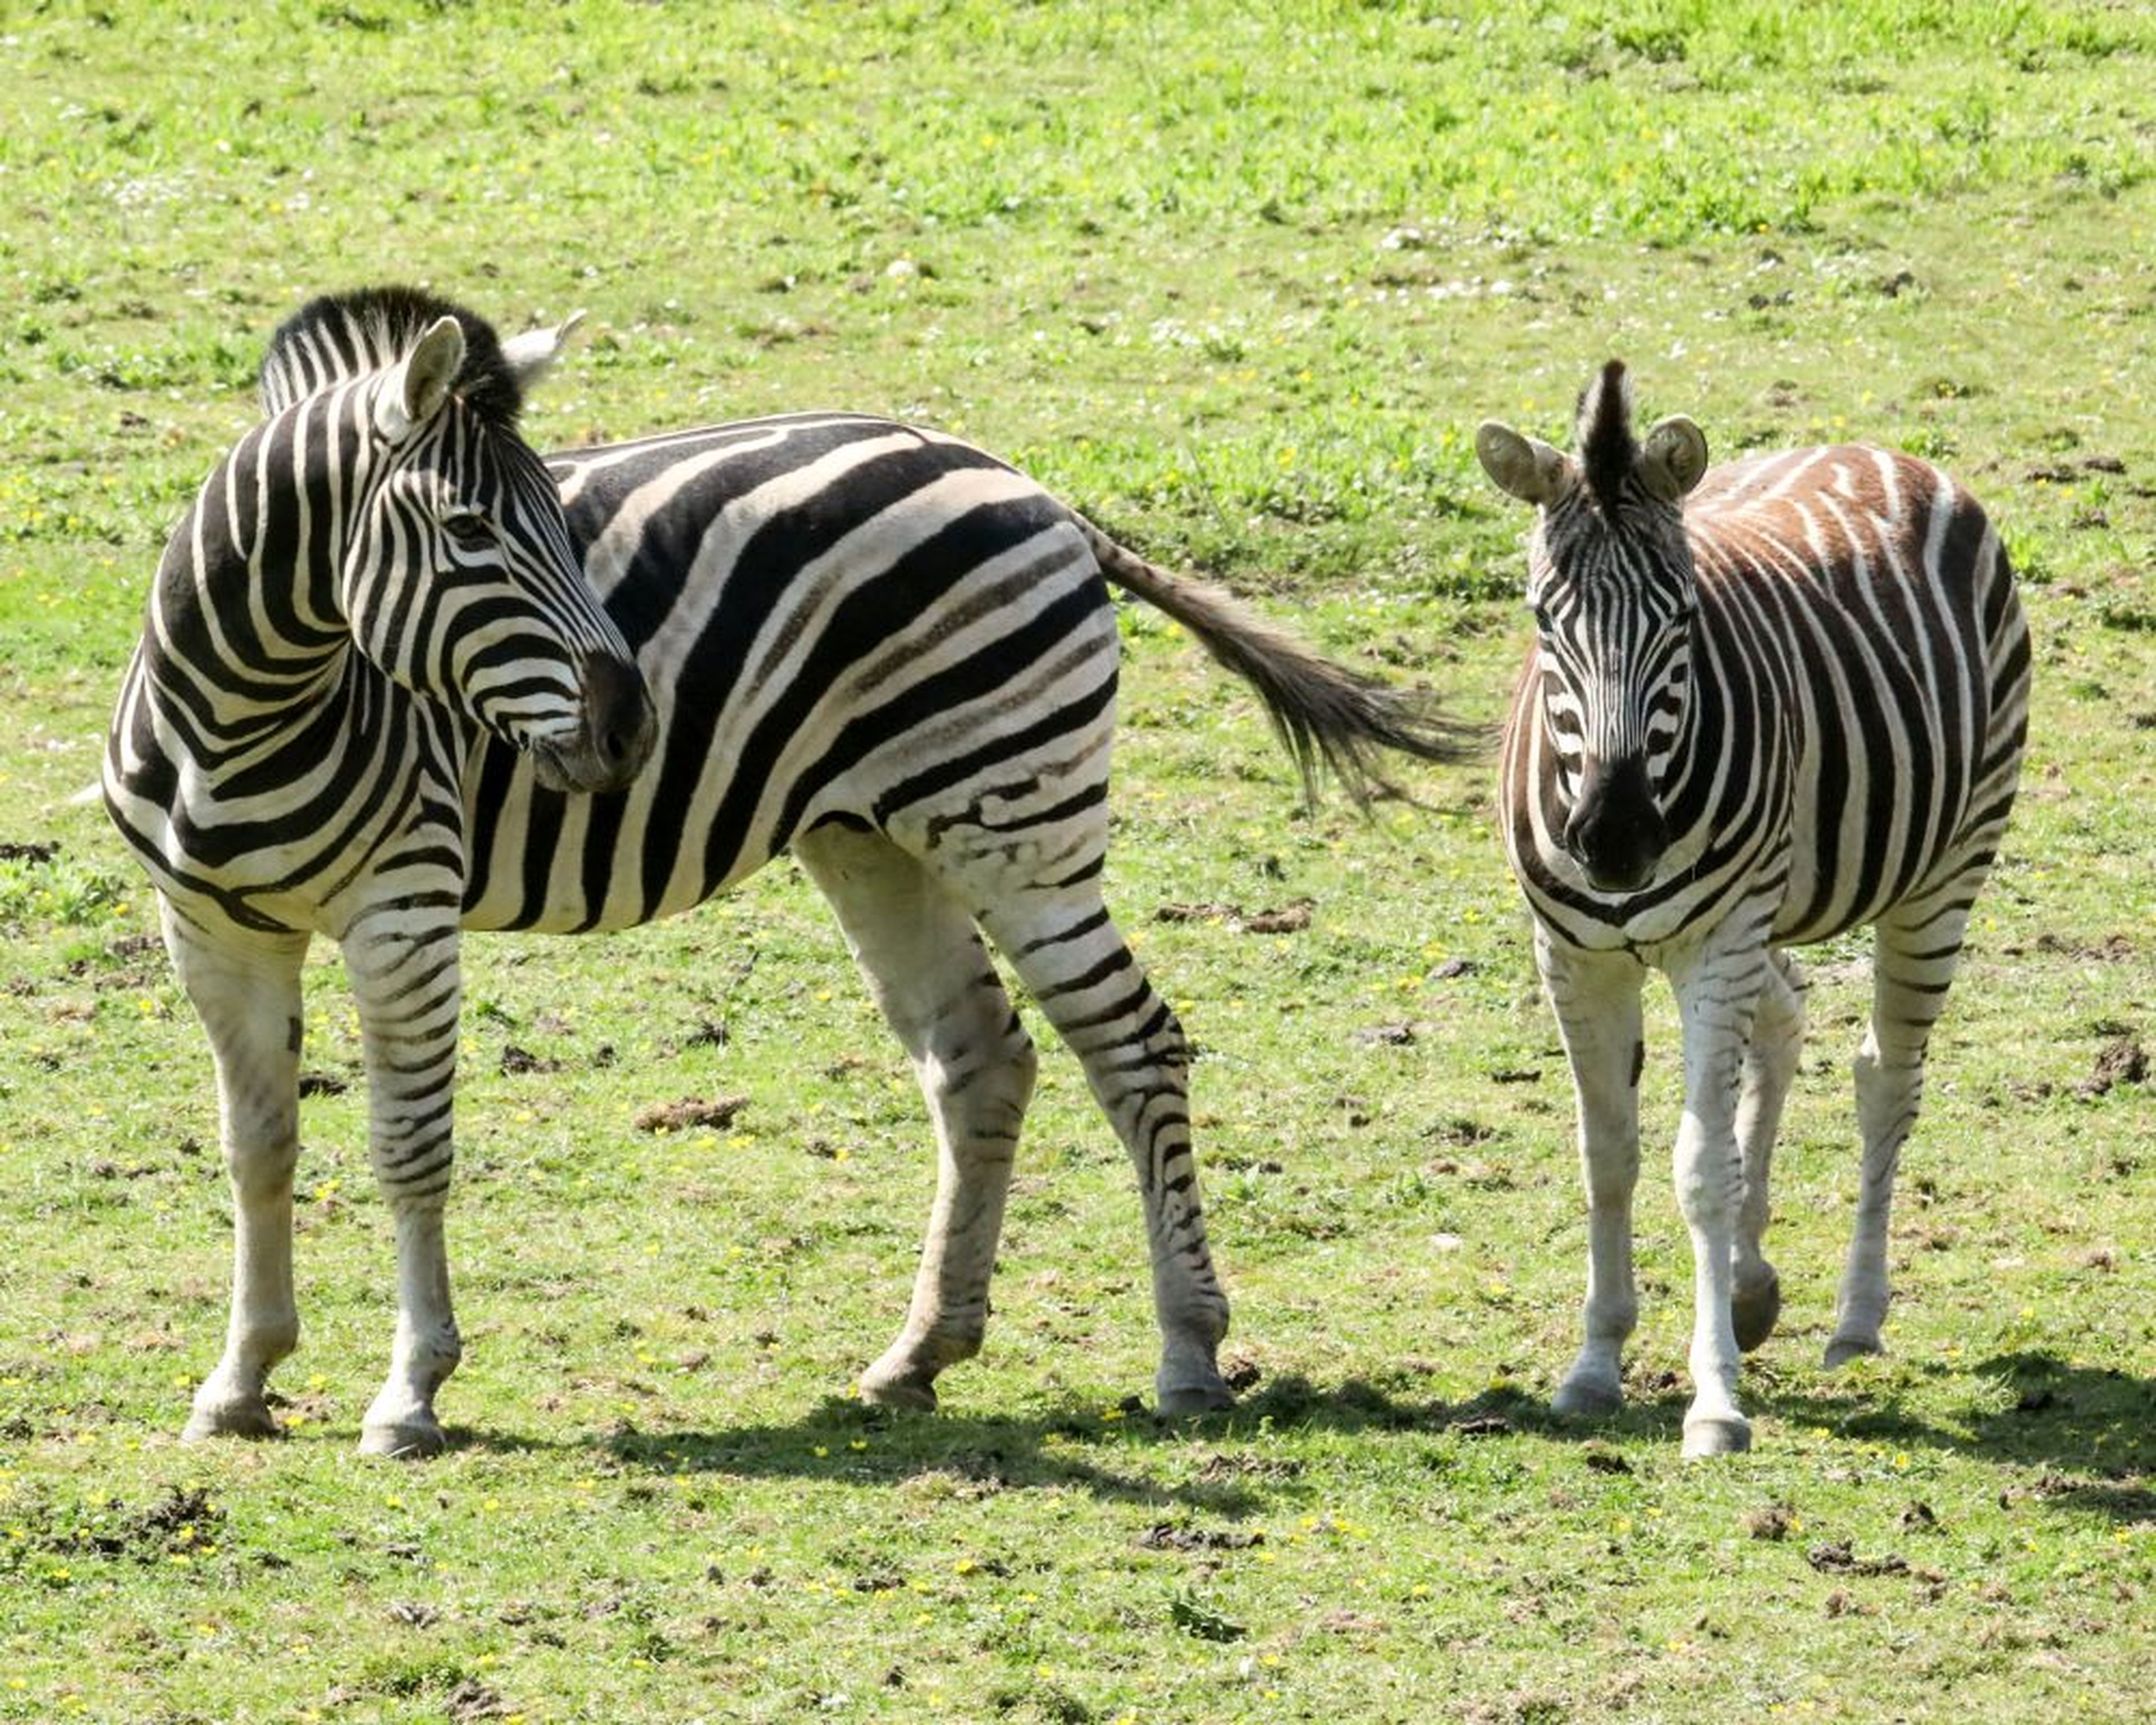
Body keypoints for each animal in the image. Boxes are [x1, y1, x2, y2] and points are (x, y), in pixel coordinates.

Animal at [107, 286, 1475, 1456]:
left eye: (562, 522)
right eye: (469, 529)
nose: (633, 730)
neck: (249, 706)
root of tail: (1030, 483)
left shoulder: (403, 913)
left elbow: (408, 1145)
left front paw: (409, 1393)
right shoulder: (209, 932)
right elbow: (257, 1147)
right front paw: (240, 1381)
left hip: (1019, 824)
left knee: (1136, 1044)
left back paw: (1188, 1353)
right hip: (874, 834)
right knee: (982, 1055)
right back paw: (919, 1356)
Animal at [1476, 360, 2029, 1456]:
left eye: (1683, 617)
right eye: (1543, 619)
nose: (1614, 839)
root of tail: (1877, 450)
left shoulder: (1716, 941)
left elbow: (1700, 1168)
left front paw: (1715, 1402)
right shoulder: (1573, 956)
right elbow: (1609, 1155)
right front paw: (1595, 1365)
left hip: (1944, 871)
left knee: (1885, 1077)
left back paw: (1855, 1319)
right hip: (1768, 904)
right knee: (1789, 1014)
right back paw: (1749, 1282)